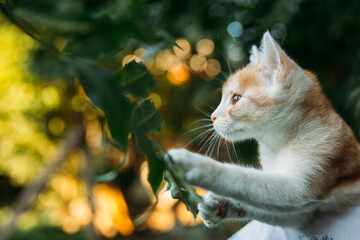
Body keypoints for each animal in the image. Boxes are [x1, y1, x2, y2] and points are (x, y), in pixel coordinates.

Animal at [167, 32, 360, 229]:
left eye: (236, 98)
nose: (213, 117)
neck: (279, 145)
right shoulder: (303, 214)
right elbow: (271, 210)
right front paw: (220, 205)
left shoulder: (302, 186)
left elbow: (245, 179)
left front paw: (194, 164)